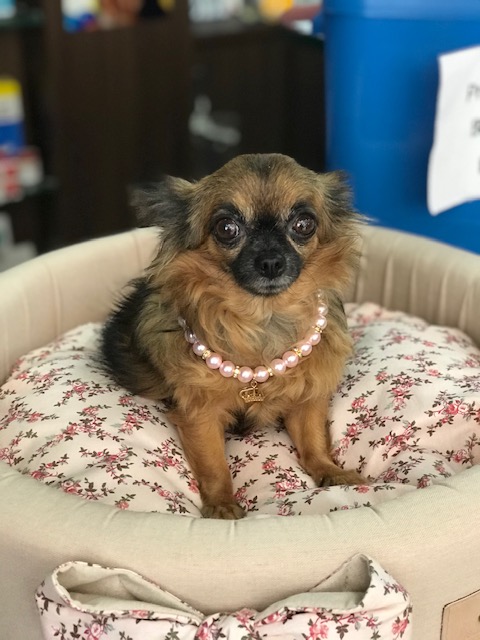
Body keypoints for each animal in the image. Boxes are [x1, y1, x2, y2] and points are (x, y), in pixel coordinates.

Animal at [101, 153, 364, 519]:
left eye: (303, 225)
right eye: (227, 228)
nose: (270, 261)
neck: (263, 321)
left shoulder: (307, 400)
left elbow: (313, 441)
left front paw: (330, 471)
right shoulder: (200, 414)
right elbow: (214, 465)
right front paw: (222, 506)